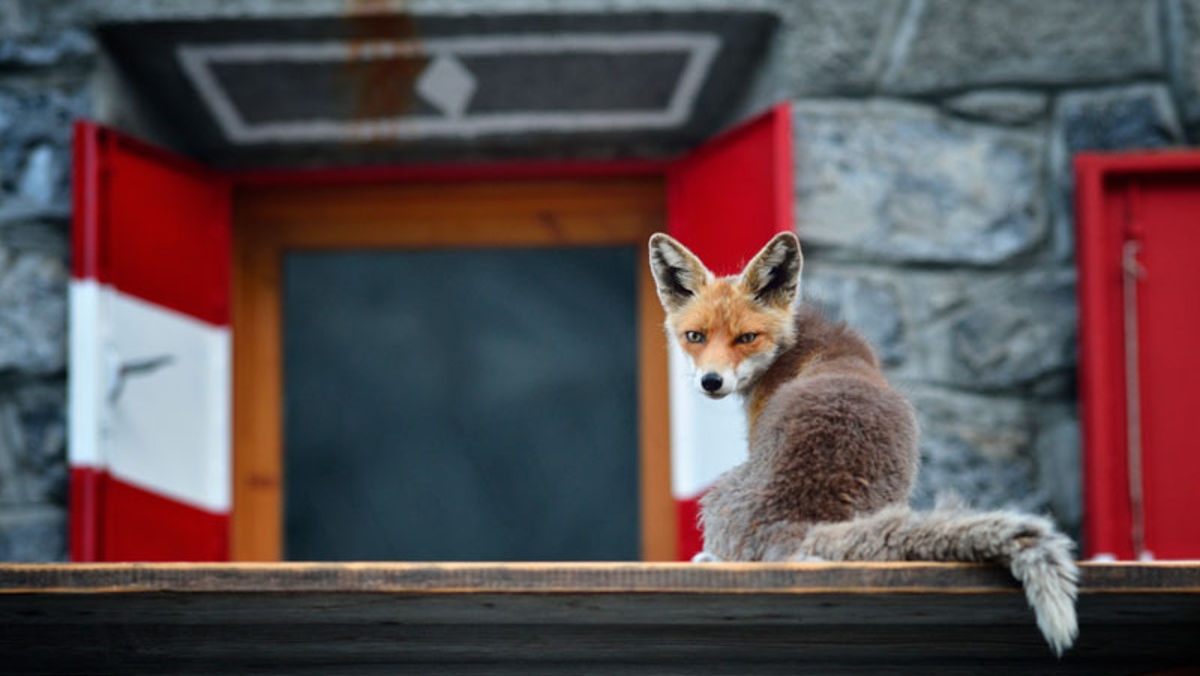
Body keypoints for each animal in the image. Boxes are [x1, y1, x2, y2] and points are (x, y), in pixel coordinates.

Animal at [652, 230, 1084, 653]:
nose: (711, 381)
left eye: (746, 338)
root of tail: (799, 518)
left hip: (717, 498)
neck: (807, 346)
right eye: (695, 337)